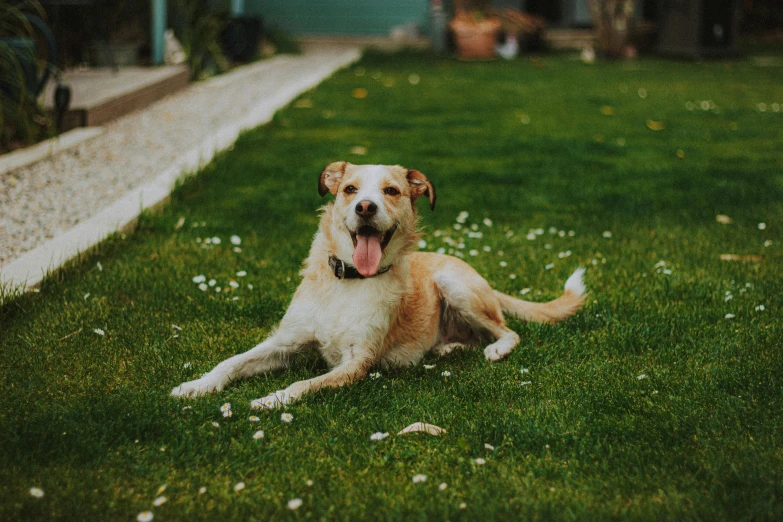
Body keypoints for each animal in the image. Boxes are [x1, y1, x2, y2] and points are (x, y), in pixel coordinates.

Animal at [173, 161, 588, 406]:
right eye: (350, 190)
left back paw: (496, 348)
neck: (348, 283)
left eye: (391, 191)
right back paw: (447, 347)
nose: (365, 207)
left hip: (454, 285)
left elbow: (302, 386)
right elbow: (231, 362)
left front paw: (269, 400)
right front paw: (197, 385)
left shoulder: (357, 362)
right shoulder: (284, 342)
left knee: (507, 330)